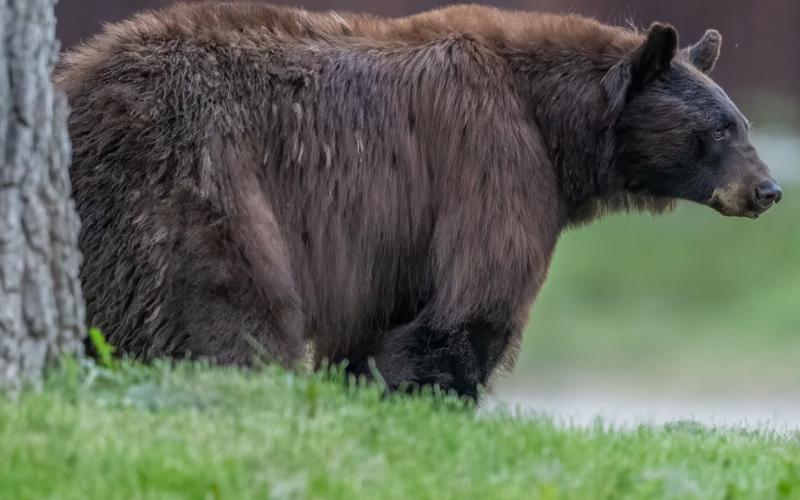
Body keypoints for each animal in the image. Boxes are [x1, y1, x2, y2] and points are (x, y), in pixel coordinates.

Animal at [56, 2, 781, 400]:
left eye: (742, 123)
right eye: (721, 129)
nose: (768, 189)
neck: (555, 124)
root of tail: (77, 83)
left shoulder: (396, 240)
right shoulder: (492, 157)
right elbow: (474, 298)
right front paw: (432, 394)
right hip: (194, 177)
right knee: (225, 314)